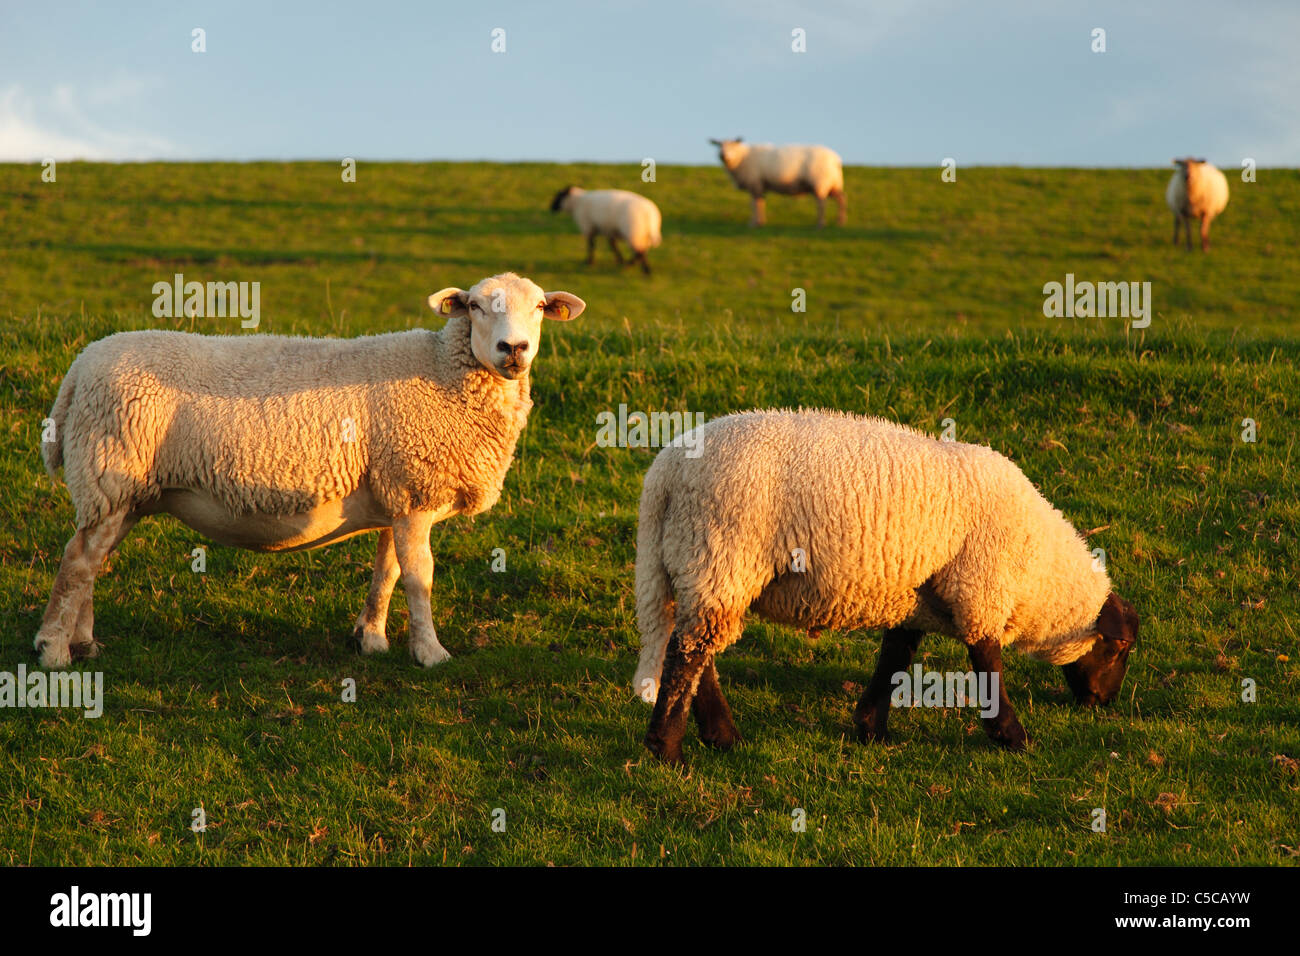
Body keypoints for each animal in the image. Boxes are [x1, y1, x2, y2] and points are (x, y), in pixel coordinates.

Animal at [34, 273, 585, 671]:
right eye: (474, 306)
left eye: (539, 307)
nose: (513, 350)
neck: (441, 371)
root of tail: (81, 367)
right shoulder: (414, 494)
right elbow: (418, 578)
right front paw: (430, 653)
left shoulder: (395, 494)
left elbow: (386, 572)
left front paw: (372, 639)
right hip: (111, 472)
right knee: (78, 562)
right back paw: (55, 652)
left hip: (123, 492)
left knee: (92, 560)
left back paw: (84, 643)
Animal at [637, 408, 1138, 764]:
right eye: (1118, 648)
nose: (1105, 702)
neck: (1036, 572)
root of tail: (664, 475)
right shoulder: (980, 589)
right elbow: (987, 665)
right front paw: (1012, 736)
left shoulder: (915, 595)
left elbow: (895, 658)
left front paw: (871, 728)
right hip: (720, 553)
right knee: (687, 655)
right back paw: (669, 751)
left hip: (701, 565)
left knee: (695, 652)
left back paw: (721, 738)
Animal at [707, 137, 847, 227]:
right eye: (719, 145)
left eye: (732, 145)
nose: (723, 155)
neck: (743, 158)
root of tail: (835, 159)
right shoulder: (760, 185)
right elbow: (760, 203)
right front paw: (760, 222)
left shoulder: (755, 184)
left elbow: (754, 204)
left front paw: (753, 223)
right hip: (833, 184)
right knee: (841, 199)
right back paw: (840, 222)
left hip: (819, 182)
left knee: (821, 203)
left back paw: (820, 224)